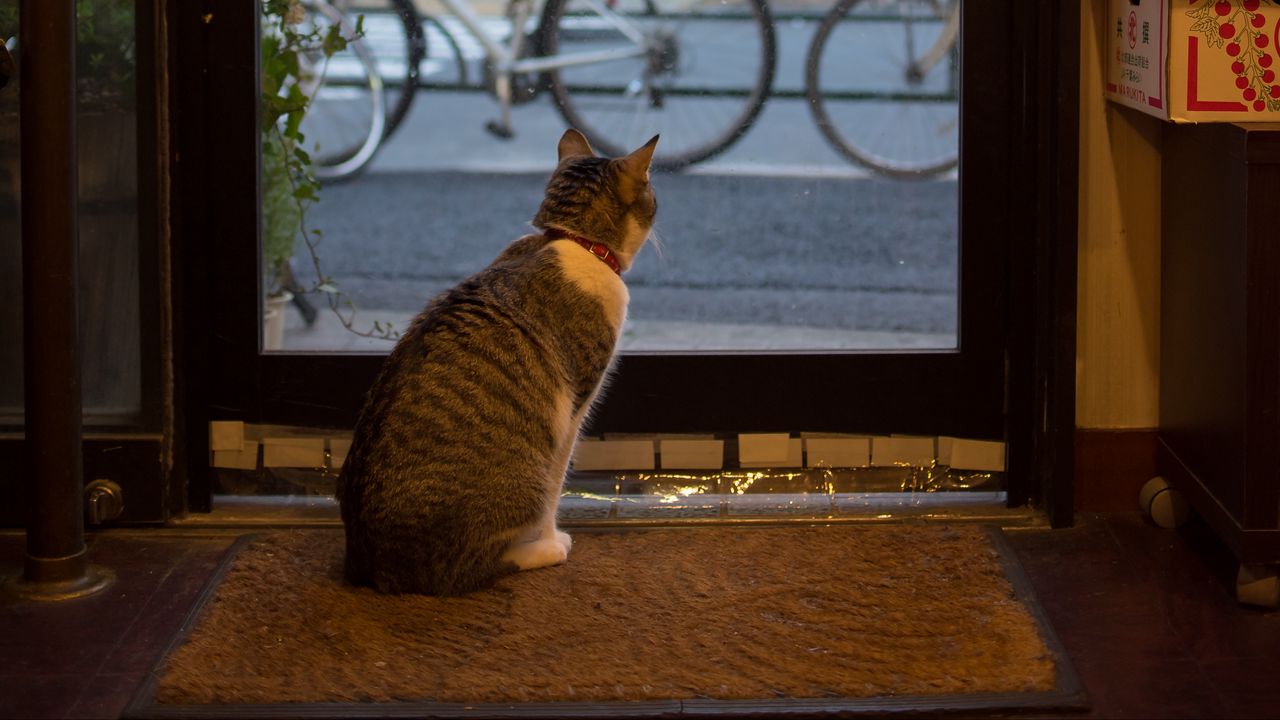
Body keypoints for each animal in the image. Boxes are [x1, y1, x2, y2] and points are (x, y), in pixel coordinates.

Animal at [335, 128, 655, 594]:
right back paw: (543, 552)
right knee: (465, 570)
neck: (569, 240)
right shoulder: (574, 409)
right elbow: (556, 489)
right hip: (523, 480)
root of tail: (371, 566)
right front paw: (550, 537)